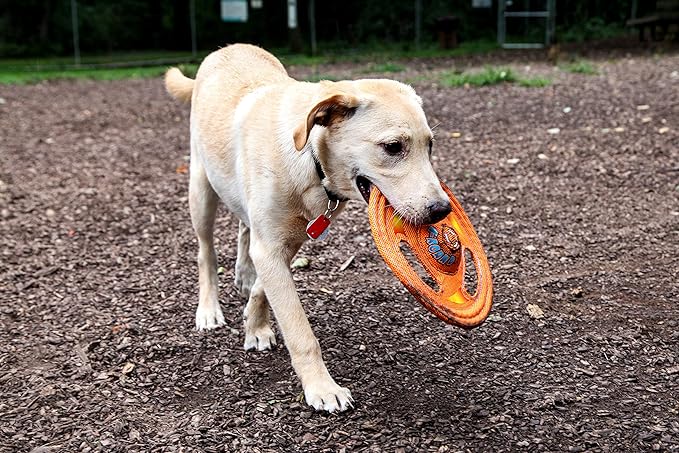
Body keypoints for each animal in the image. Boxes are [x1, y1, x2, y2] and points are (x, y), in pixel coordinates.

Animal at [164, 44, 452, 412]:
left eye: (430, 145)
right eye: (392, 147)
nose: (442, 210)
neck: (310, 158)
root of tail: (226, 49)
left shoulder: (291, 239)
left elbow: (263, 287)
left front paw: (255, 324)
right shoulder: (271, 246)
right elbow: (299, 330)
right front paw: (322, 387)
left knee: (244, 227)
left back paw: (243, 275)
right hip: (201, 190)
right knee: (206, 253)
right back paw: (208, 310)